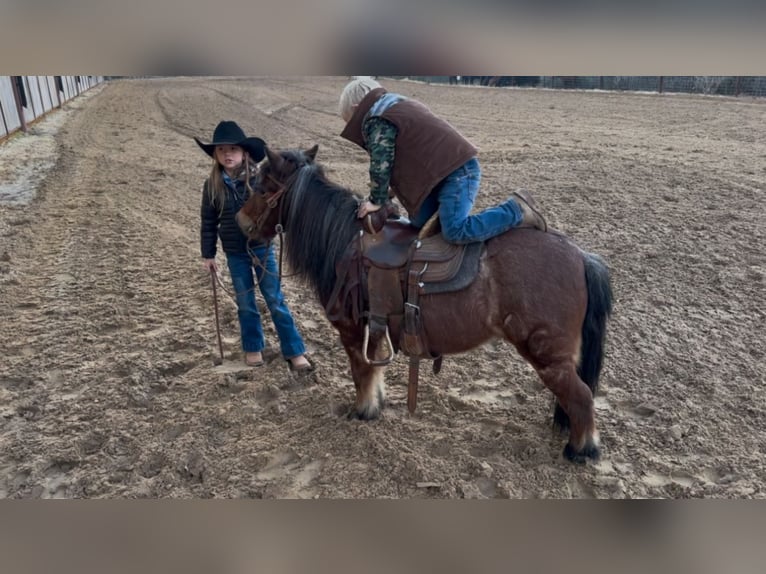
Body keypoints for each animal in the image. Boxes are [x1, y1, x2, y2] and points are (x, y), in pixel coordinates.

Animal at [237, 147, 616, 464]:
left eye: (261, 187)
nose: (241, 223)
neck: (346, 241)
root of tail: (581, 256)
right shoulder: (374, 328)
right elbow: (374, 370)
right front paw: (376, 405)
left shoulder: (352, 330)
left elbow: (361, 371)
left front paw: (362, 411)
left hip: (546, 354)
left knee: (582, 396)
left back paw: (581, 451)